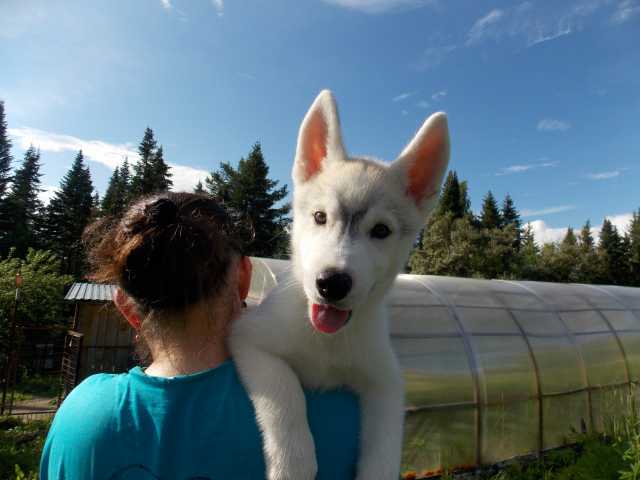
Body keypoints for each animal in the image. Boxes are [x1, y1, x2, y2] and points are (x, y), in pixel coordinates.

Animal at [230, 91, 450, 480]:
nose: (331, 283)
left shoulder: (385, 381)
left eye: (381, 230)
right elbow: (285, 390)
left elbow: (384, 451)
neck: (328, 344)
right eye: (320, 217)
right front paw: (293, 462)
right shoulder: (250, 338)